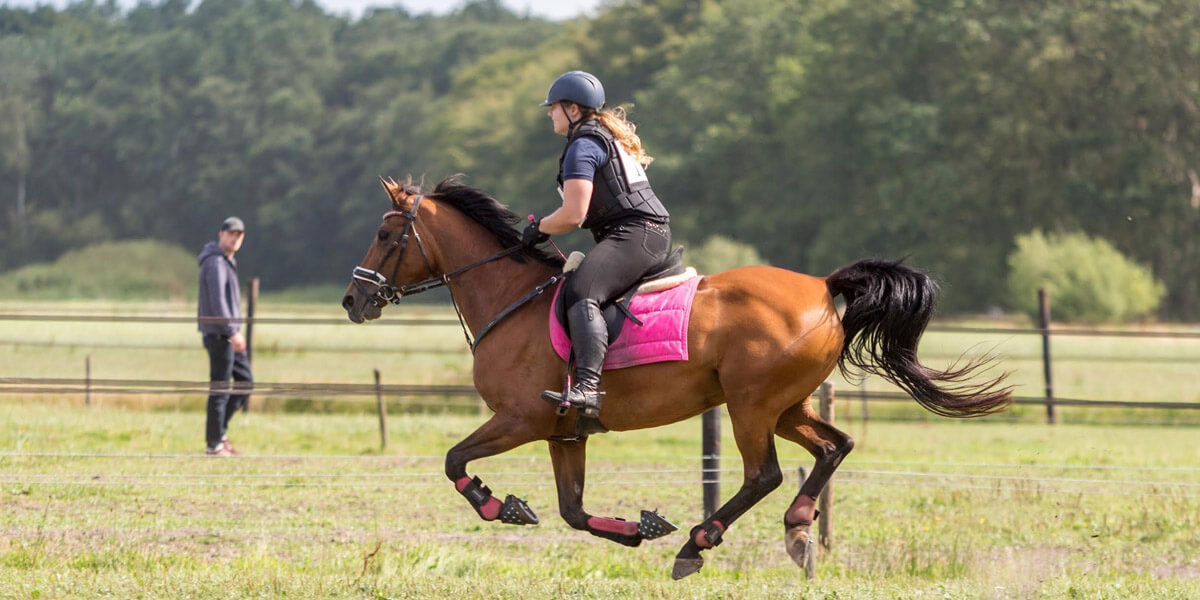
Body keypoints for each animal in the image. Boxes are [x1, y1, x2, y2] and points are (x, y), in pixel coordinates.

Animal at [343, 175, 1008, 578]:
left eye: (384, 234)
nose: (354, 301)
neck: (512, 298)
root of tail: (823, 287)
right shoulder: (564, 433)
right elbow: (573, 512)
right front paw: (639, 527)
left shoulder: (520, 419)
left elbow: (454, 460)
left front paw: (496, 504)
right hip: (784, 406)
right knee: (832, 446)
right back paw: (796, 527)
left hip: (749, 405)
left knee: (764, 474)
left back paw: (699, 541)